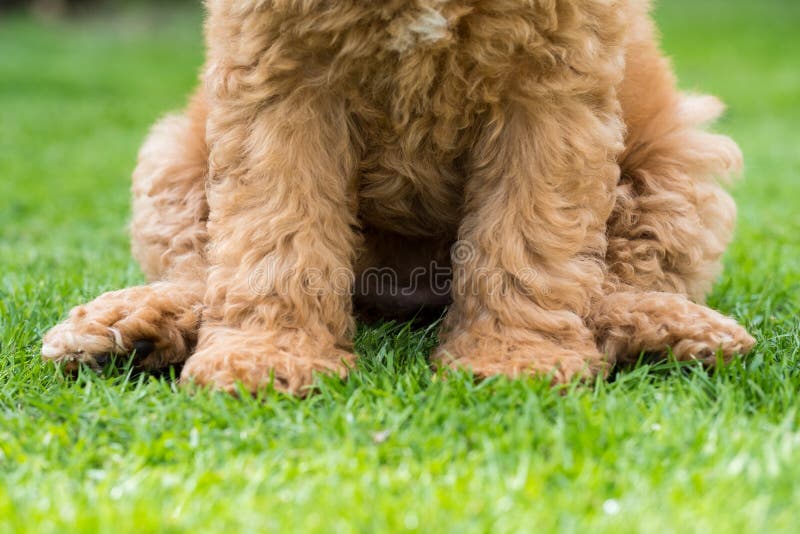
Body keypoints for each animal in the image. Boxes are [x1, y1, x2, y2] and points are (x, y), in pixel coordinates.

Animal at [42, 0, 756, 394]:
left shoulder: (549, 79)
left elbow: (528, 238)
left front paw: (515, 357)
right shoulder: (281, 73)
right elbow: (275, 231)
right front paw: (268, 354)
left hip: (677, 159)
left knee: (616, 284)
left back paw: (679, 332)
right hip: (174, 157)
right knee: (201, 271)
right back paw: (125, 328)